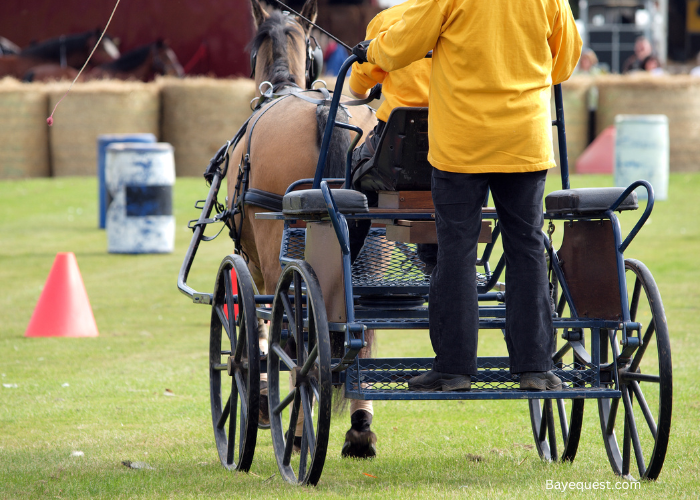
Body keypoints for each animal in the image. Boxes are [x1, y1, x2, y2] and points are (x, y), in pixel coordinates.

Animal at [227, 0, 380, 460]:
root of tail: (331, 112)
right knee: (365, 329)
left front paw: (263, 400)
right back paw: (360, 428)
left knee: (296, 339)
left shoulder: (255, 262)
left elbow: (262, 324)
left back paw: (295, 432)